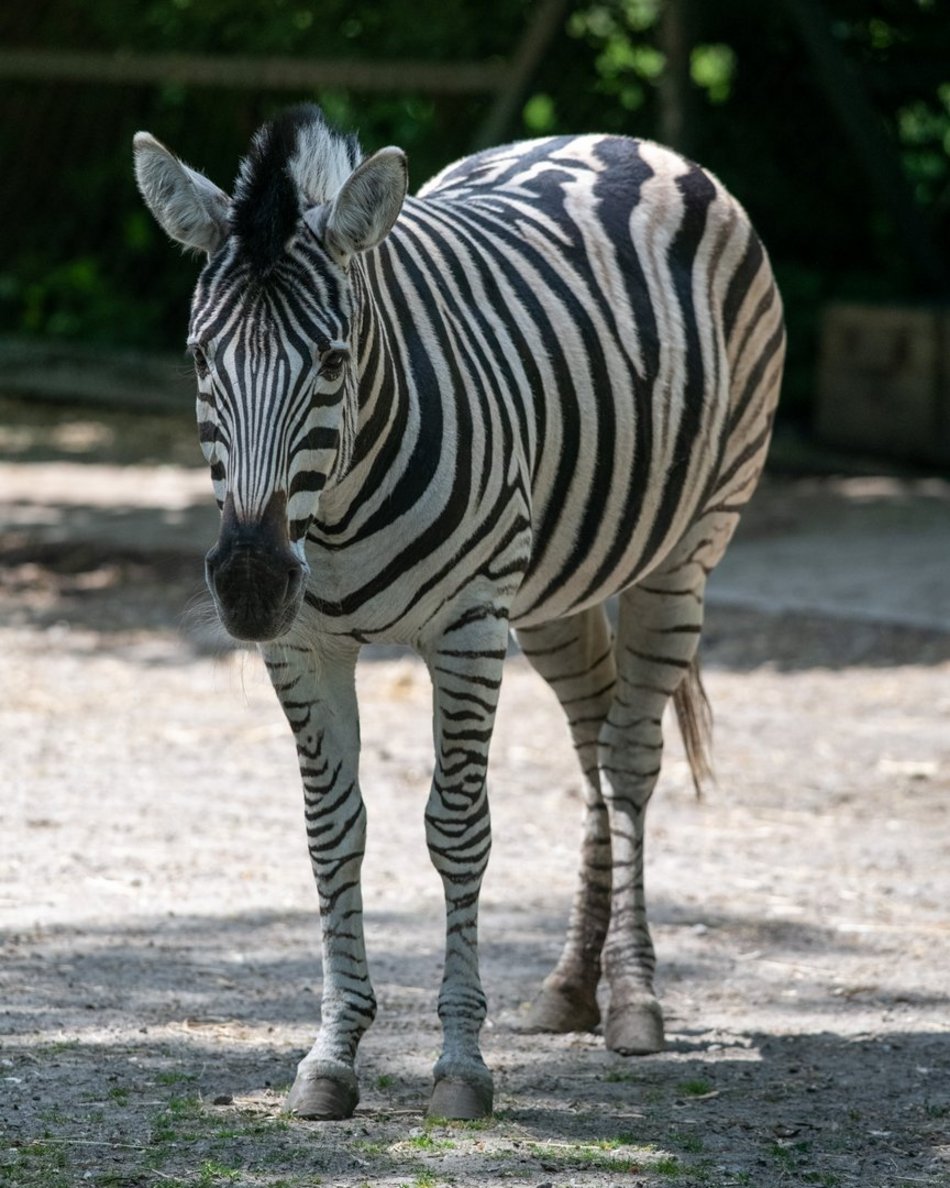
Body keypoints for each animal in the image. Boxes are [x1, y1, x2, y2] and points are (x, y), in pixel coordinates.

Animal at [135, 104, 788, 1121]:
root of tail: (623, 142)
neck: (337, 505)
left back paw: (633, 999)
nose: (248, 583)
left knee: (630, 759)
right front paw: (331, 1055)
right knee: (593, 735)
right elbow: (332, 832)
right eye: (203, 356)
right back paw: (571, 987)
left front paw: (459, 1063)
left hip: (686, 552)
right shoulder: (304, 643)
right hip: (555, 584)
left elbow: (457, 830)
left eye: (332, 360)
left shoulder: (471, 628)